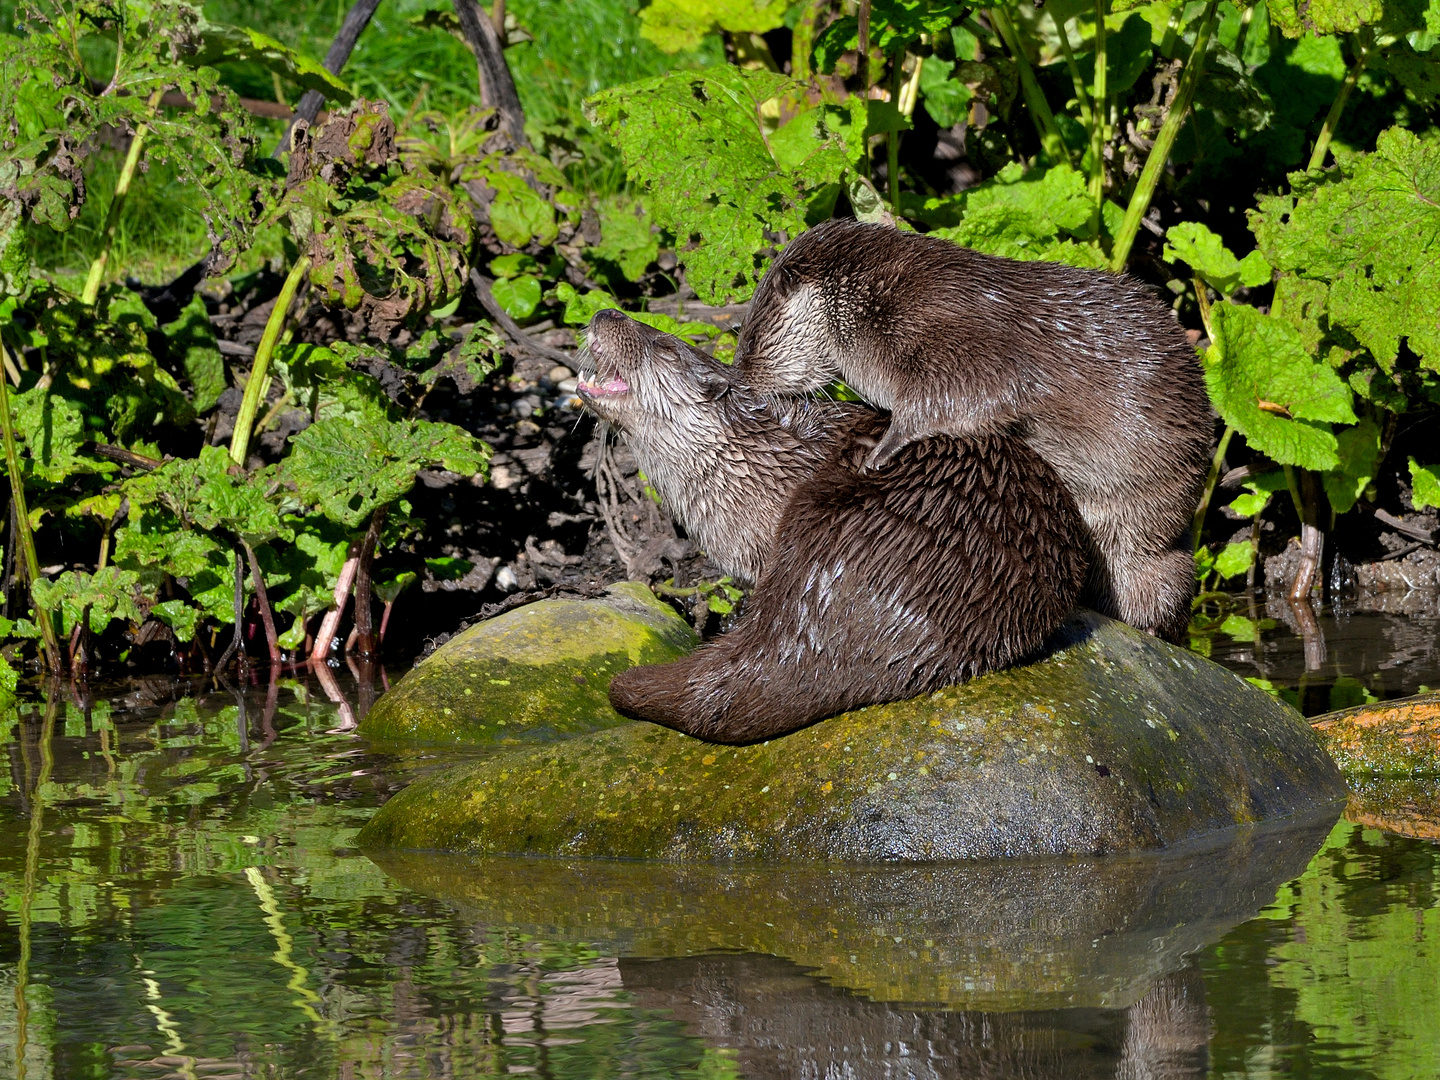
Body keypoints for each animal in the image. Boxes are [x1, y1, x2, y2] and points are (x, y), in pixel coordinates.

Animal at [731, 218, 1215, 642]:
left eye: (749, 344)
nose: (738, 380)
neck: (871, 301)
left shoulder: (955, 337)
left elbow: (962, 397)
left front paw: (880, 448)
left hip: (1147, 538)